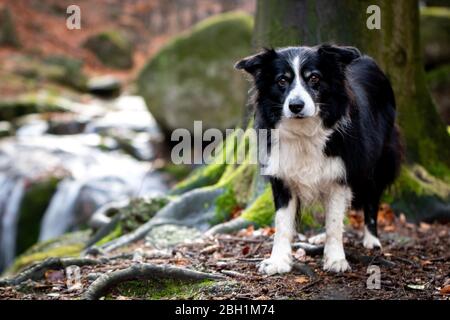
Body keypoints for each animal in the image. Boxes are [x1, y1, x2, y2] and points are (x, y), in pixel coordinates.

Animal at [236, 45, 400, 274]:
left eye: (314, 78)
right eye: (281, 81)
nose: (296, 105)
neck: (304, 132)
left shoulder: (340, 174)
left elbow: (334, 222)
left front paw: (336, 259)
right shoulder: (282, 176)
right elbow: (282, 223)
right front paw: (278, 261)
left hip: (379, 160)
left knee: (371, 198)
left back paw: (372, 240)